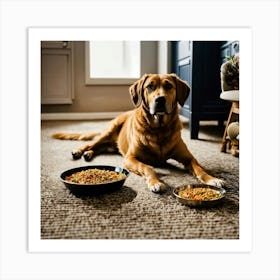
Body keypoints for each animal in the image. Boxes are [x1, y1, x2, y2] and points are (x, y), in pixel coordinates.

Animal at [52, 73, 224, 192]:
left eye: (168, 86)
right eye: (150, 86)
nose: (160, 100)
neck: (159, 128)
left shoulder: (188, 158)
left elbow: (199, 168)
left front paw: (212, 179)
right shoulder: (130, 158)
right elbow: (148, 168)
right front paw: (156, 183)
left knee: (99, 148)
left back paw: (89, 154)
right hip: (110, 129)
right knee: (91, 143)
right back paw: (80, 151)